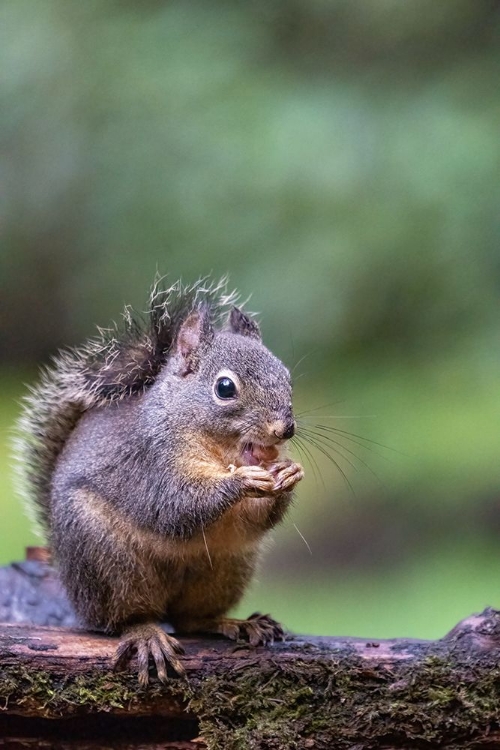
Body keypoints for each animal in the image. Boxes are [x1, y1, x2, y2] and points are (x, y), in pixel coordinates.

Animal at [14, 278, 304, 688]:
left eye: (287, 377)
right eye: (225, 388)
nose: (285, 430)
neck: (218, 448)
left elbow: (255, 518)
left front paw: (288, 473)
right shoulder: (150, 461)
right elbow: (174, 505)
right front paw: (241, 480)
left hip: (227, 565)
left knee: (191, 619)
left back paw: (235, 623)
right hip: (107, 561)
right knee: (124, 618)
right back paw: (146, 635)